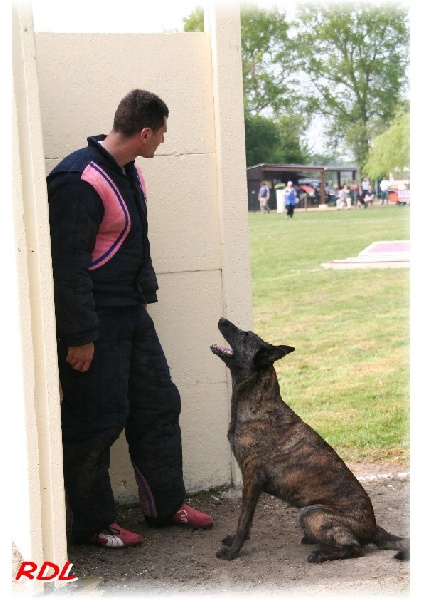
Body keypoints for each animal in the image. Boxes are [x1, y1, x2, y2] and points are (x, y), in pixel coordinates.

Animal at [212, 318, 410, 564]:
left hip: (310, 513)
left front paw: (232, 552)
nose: (222, 320)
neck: (258, 405)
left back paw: (321, 554)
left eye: (245, 335)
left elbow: (243, 521)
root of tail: (373, 527)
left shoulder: (252, 480)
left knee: (356, 548)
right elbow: (245, 524)